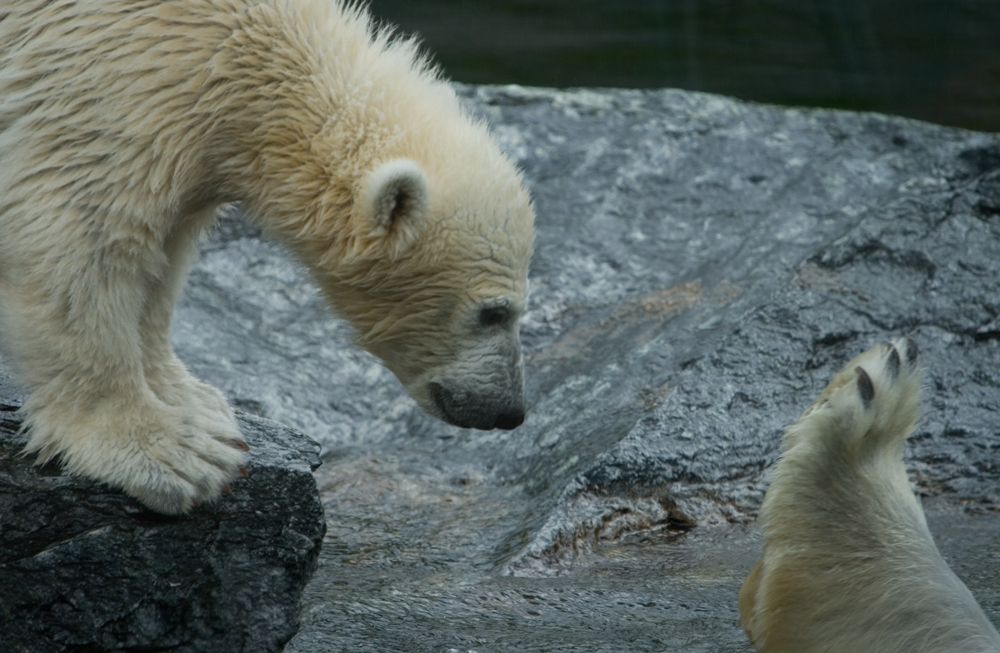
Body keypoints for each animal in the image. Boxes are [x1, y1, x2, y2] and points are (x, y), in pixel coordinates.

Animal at [0, 1, 536, 516]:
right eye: (492, 312)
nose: (510, 412)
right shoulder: (103, 92)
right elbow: (75, 245)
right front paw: (169, 454)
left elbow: (163, 260)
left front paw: (195, 403)